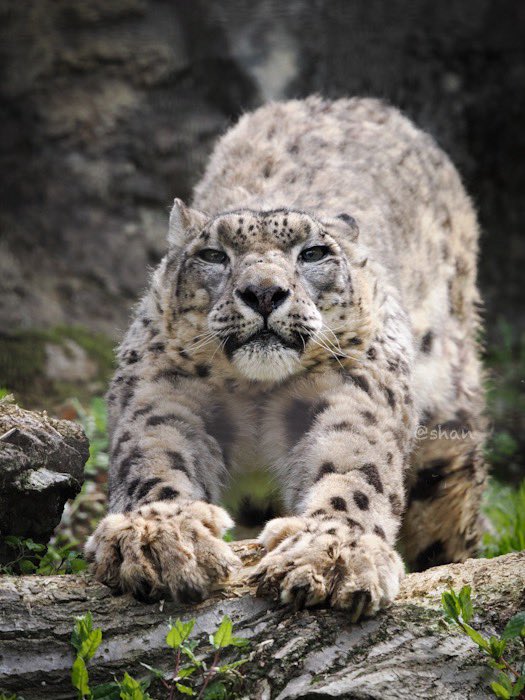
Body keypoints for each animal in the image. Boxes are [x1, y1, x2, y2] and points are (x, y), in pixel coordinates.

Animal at [84, 95, 486, 620]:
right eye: (213, 255)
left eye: (312, 253)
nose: (263, 292)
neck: (255, 391)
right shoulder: (164, 387)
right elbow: (156, 451)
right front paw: (160, 538)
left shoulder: (354, 386)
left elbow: (352, 465)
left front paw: (332, 554)